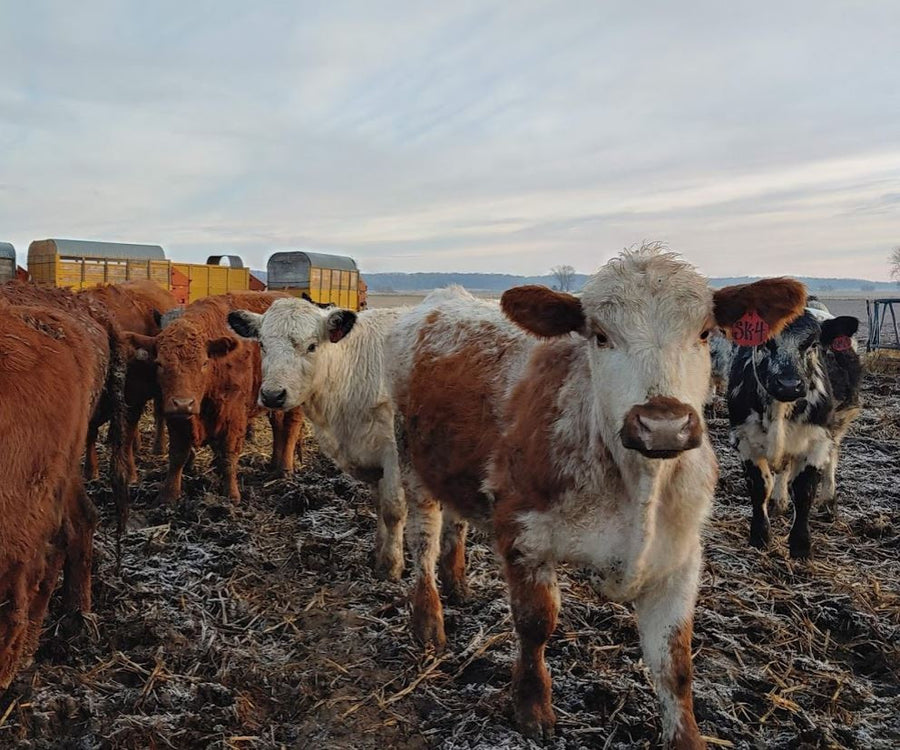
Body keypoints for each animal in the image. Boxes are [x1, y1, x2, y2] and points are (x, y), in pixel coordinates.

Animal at [124, 292, 304, 504]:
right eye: (159, 363)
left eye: (204, 363)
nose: (183, 403)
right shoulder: (177, 417)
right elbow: (177, 454)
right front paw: (169, 494)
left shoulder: (234, 416)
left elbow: (228, 454)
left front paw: (231, 495)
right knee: (278, 427)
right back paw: (274, 464)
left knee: (291, 427)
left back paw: (285, 469)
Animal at [227, 299, 406, 580]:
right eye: (262, 344)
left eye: (312, 346)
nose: (273, 395)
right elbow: (378, 505)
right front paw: (378, 556)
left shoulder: (395, 454)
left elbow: (393, 509)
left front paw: (392, 567)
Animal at [385, 247, 806, 748]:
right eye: (601, 336)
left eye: (705, 332)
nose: (663, 424)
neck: (637, 482)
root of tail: (443, 299)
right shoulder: (524, 535)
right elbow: (535, 624)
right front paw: (532, 707)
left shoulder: (681, 557)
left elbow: (675, 663)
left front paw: (687, 737)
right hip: (410, 461)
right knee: (423, 539)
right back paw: (428, 619)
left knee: (456, 520)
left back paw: (456, 582)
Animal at [727, 302, 862, 559]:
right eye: (765, 341)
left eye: (813, 344)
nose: (789, 384)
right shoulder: (745, 439)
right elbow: (760, 486)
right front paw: (760, 536)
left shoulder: (816, 441)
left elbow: (804, 490)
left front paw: (801, 544)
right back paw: (778, 502)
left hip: (838, 425)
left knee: (832, 460)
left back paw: (828, 502)